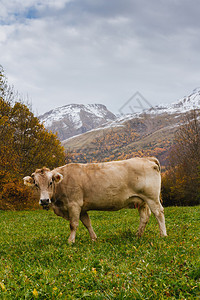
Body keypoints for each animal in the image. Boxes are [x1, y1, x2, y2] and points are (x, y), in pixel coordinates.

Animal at [23, 158, 167, 243]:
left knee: (158, 213)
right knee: (145, 216)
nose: (44, 200)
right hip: (141, 200)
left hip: (151, 197)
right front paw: (93, 239)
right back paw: (138, 235)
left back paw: (163, 235)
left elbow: (73, 224)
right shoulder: (82, 208)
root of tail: (147, 158)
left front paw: (70, 241)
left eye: (51, 182)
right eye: (36, 184)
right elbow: (87, 223)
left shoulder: (74, 204)